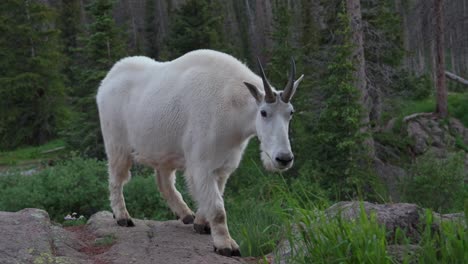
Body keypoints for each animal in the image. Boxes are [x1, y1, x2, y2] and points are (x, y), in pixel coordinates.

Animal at [97, 49, 306, 256]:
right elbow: (218, 209)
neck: (232, 106)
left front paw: (201, 224)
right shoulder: (202, 164)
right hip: (117, 145)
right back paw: (123, 217)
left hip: (164, 152)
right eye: (263, 112)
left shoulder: (223, 166)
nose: (284, 158)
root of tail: (106, 81)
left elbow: (214, 198)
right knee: (116, 179)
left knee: (164, 182)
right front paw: (226, 245)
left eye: (291, 112)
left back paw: (186, 214)